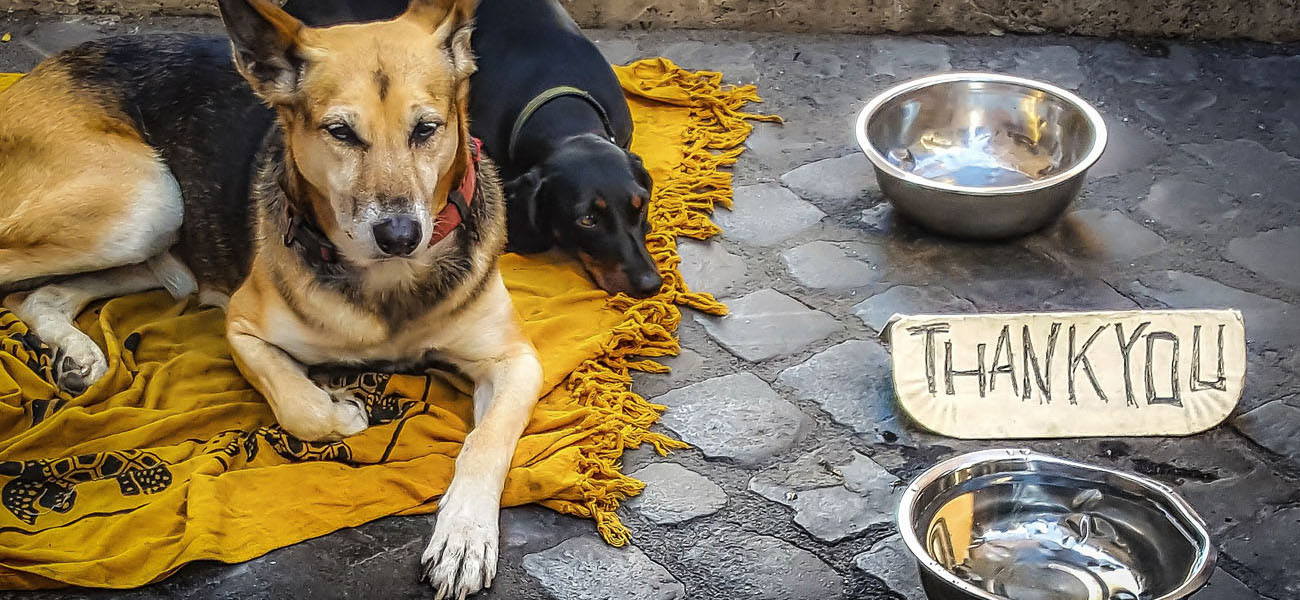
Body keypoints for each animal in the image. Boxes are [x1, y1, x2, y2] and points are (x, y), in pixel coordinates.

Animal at [0, 0, 538, 594]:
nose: (400, 236)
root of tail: (38, 74)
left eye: (426, 129)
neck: (387, 280)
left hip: (154, 232)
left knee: (40, 298)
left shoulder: (515, 361)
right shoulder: (242, 329)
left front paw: (465, 536)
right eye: (340, 132)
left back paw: (76, 355)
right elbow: (301, 406)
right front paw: (343, 409)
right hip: (146, 200)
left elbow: (485, 443)